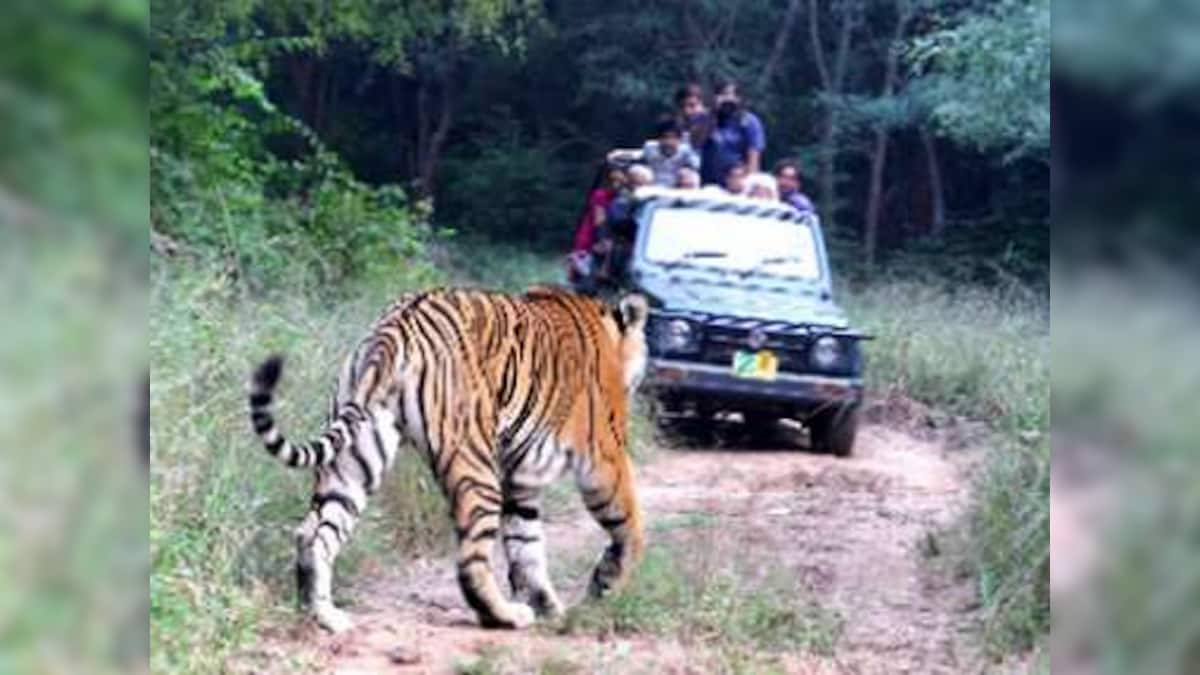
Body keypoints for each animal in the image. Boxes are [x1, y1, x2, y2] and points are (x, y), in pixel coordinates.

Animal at [244, 283, 652, 629]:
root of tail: (397, 323)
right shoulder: (605, 457)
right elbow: (628, 525)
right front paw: (605, 584)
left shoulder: (520, 477)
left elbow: (527, 544)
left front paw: (550, 607)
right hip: (475, 464)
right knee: (470, 559)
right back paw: (504, 615)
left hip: (356, 457)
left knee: (313, 533)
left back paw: (323, 615)